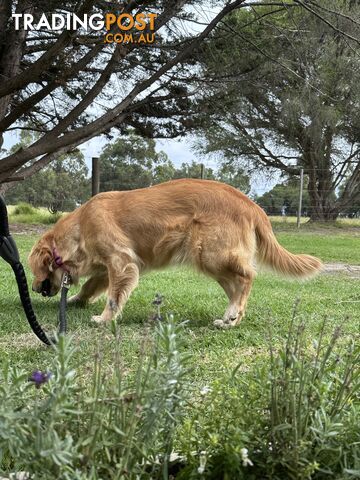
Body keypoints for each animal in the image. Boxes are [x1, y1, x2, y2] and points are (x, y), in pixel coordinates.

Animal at [27, 178, 320, 328]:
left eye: (33, 271)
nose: (32, 288)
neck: (81, 226)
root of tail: (251, 204)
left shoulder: (122, 262)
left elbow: (112, 298)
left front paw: (104, 319)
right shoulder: (107, 267)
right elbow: (91, 287)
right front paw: (76, 299)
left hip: (212, 255)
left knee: (248, 276)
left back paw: (234, 312)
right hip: (212, 263)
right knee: (237, 287)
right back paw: (230, 318)